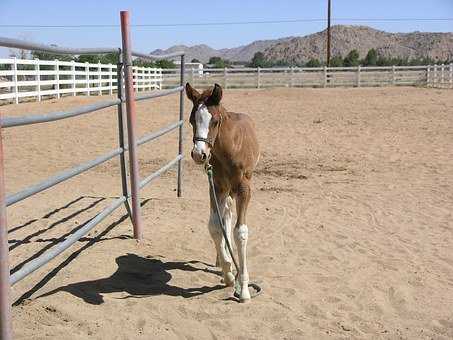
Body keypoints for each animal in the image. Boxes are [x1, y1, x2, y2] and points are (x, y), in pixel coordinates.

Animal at [185, 82, 260, 302]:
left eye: (215, 121)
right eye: (192, 120)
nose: (199, 154)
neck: (230, 149)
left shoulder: (244, 189)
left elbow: (240, 232)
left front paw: (243, 289)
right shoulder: (216, 186)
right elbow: (215, 227)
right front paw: (228, 272)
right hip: (225, 190)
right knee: (225, 215)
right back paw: (222, 259)